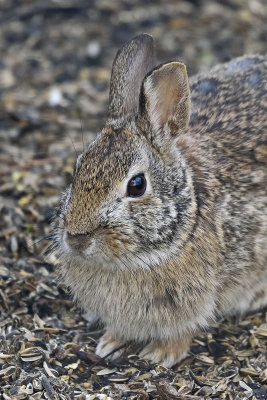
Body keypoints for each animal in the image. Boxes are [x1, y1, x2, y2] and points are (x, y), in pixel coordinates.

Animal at [49, 32, 266, 368]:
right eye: (77, 169)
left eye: (137, 185)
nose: (76, 238)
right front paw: (109, 343)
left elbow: (184, 332)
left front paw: (160, 355)